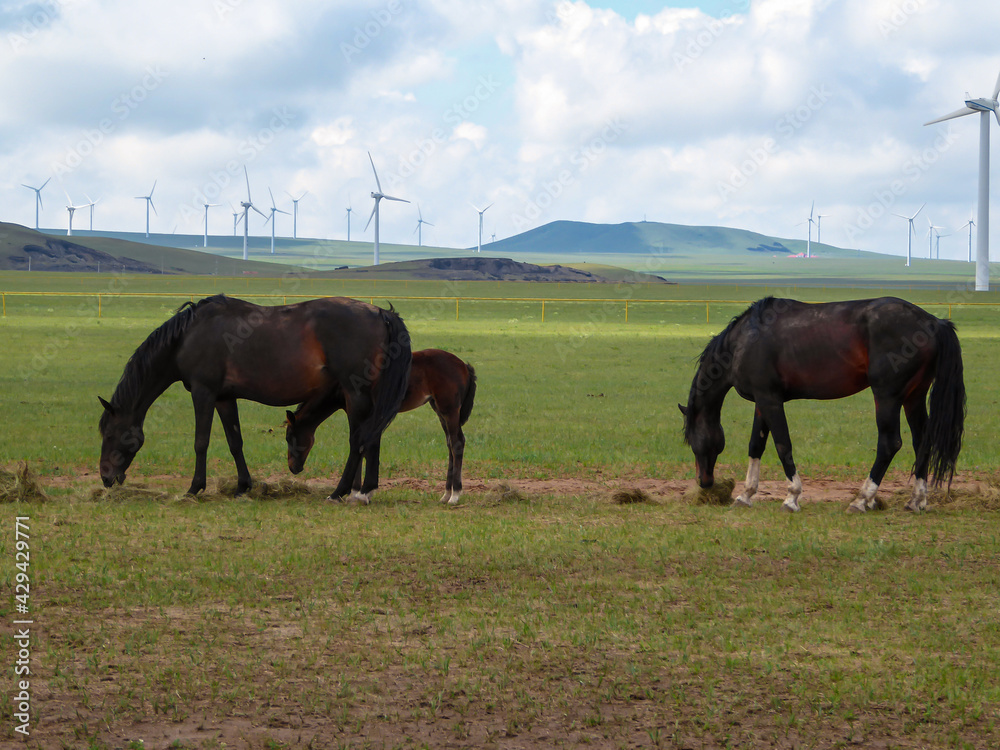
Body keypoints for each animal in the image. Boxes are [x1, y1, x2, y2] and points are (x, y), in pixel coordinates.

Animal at [98, 294, 411, 499]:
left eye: (110, 434)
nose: (105, 477)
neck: (188, 336)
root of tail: (380, 313)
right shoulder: (224, 398)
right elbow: (235, 442)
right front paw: (242, 486)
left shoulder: (203, 393)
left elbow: (201, 442)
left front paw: (194, 488)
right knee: (372, 436)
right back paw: (364, 490)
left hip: (355, 393)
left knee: (358, 440)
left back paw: (341, 491)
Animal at [285, 348, 477, 505]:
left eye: (289, 438)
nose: (294, 468)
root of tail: (464, 366)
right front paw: (359, 492)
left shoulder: (358, 413)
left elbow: (359, 445)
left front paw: (355, 492)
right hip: (438, 409)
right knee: (450, 443)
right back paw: (445, 494)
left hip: (449, 409)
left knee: (457, 442)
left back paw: (455, 495)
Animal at [680, 296, 965, 513]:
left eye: (693, 440)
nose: (704, 481)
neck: (744, 340)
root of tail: (934, 322)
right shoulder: (762, 401)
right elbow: (756, 445)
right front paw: (746, 495)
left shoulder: (770, 400)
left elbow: (782, 445)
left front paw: (792, 497)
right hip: (913, 397)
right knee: (922, 442)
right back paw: (916, 501)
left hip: (887, 397)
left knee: (889, 444)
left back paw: (862, 500)